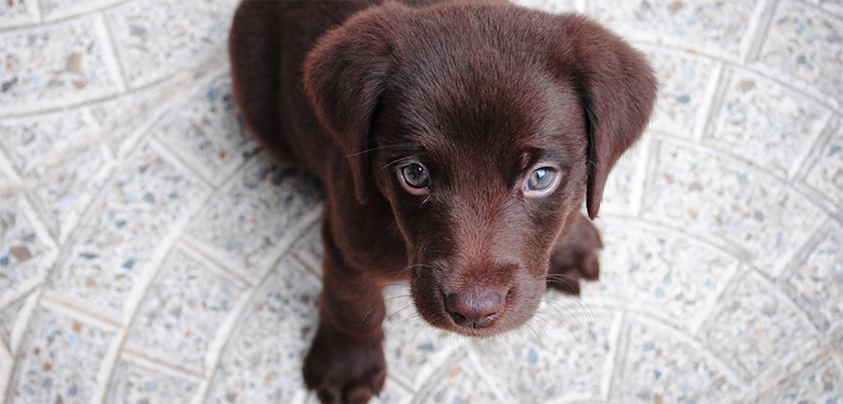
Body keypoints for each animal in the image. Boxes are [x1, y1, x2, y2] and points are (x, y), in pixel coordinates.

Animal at [227, 1, 656, 402]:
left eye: (541, 177)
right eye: (415, 175)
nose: (474, 310)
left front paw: (571, 240)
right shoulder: (348, 237)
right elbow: (352, 302)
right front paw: (347, 367)